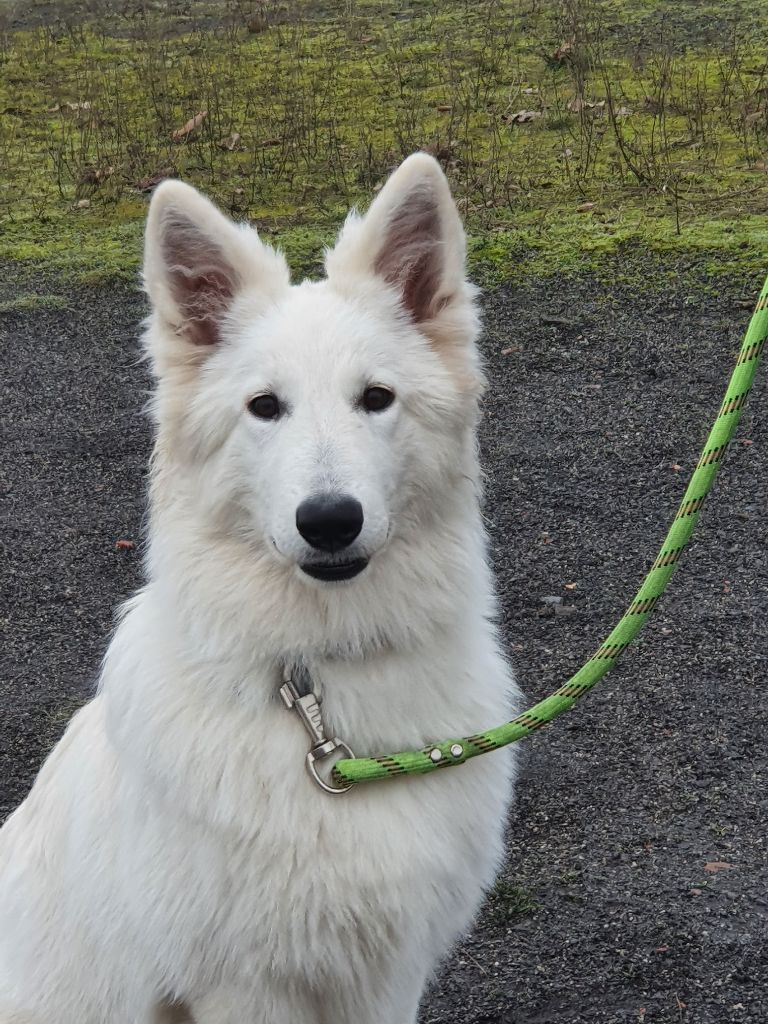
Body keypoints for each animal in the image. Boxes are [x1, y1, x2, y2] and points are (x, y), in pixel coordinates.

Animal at [0, 151, 520, 1024]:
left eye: (376, 398)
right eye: (264, 407)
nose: (330, 521)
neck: (318, 684)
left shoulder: (388, 975)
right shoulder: (248, 987)